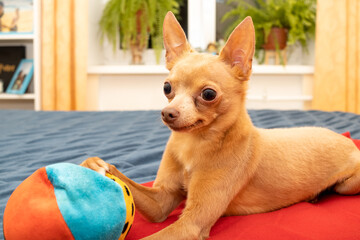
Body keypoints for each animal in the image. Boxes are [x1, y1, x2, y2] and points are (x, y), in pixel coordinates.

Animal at [81, 11, 360, 240]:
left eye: (208, 94)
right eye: (167, 88)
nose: (167, 113)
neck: (195, 145)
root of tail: (347, 139)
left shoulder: (190, 224)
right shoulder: (161, 201)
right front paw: (93, 164)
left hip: (349, 185)